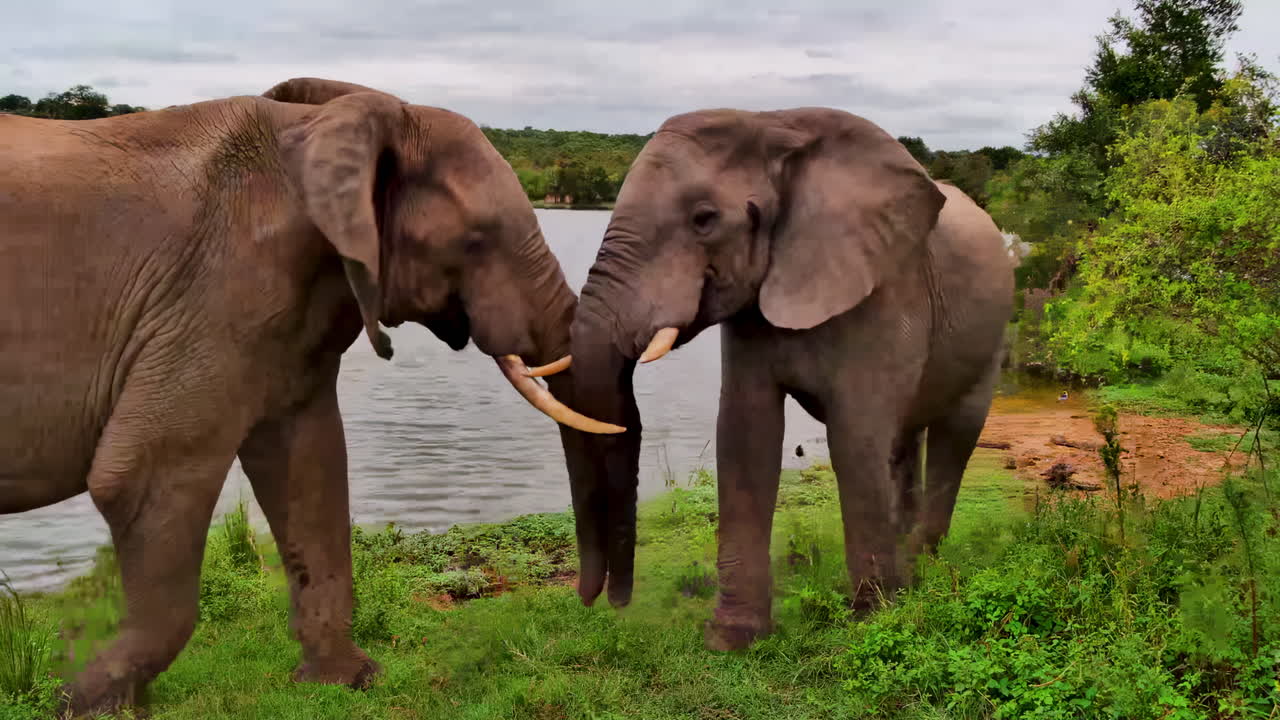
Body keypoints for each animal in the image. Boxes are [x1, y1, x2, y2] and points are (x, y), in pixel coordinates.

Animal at [0, 77, 622, 716]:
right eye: (478, 239)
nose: (592, 600)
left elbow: (309, 465)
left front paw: (344, 682)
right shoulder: (211, 295)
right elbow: (144, 472)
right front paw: (84, 702)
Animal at [546, 107, 1014, 650]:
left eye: (704, 219)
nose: (610, 601)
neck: (774, 126)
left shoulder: (885, 291)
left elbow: (854, 439)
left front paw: (873, 621)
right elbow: (745, 433)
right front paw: (732, 640)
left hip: (991, 333)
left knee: (953, 434)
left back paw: (920, 571)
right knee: (904, 438)